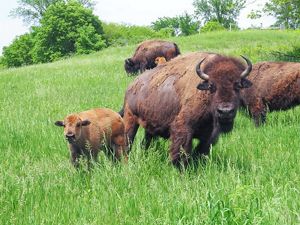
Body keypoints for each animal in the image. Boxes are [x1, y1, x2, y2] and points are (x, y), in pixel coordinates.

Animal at [120, 51, 252, 166]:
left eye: (238, 85)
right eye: (211, 86)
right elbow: (182, 150)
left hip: (150, 126)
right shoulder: (183, 128)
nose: (225, 111)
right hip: (130, 119)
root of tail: (131, 86)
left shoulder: (209, 135)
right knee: (127, 142)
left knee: (145, 142)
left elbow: (201, 150)